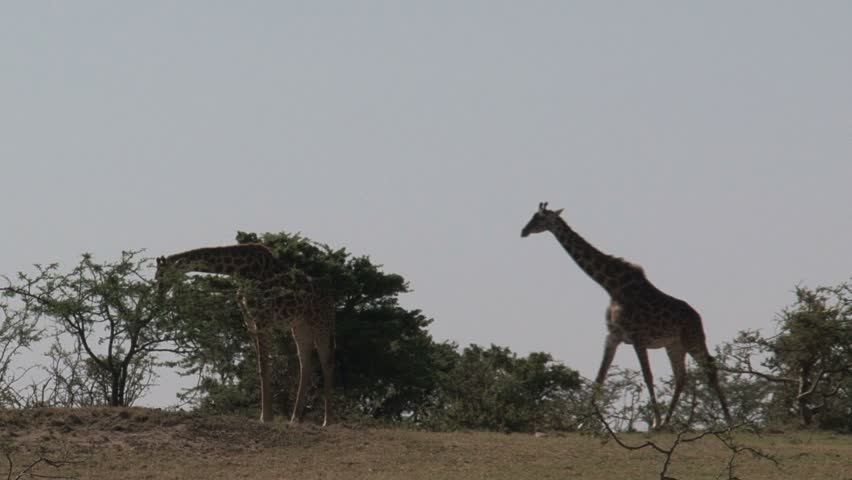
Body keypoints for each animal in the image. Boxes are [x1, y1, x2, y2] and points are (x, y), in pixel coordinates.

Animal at [155, 243, 335, 426]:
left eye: (161, 275)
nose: (158, 295)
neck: (241, 271)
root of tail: (330, 301)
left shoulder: (262, 318)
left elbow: (264, 365)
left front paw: (266, 417)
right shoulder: (249, 319)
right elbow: (260, 366)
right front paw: (265, 415)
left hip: (320, 323)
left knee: (327, 363)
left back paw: (327, 421)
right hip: (300, 326)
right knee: (305, 364)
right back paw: (294, 419)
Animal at [521, 202, 732, 429]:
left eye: (540, 218)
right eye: (533, 215)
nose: (523, 231)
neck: (612, 287)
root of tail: (698, 317)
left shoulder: (638, 338)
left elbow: (647, 376)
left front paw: (654, 422)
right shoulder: (613, 336)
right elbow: (599, 377)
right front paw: (581, 424)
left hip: (692, 338)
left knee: (710, 368)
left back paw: (728, 421)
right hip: (674, 345)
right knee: (681, 376)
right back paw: (668, 423)